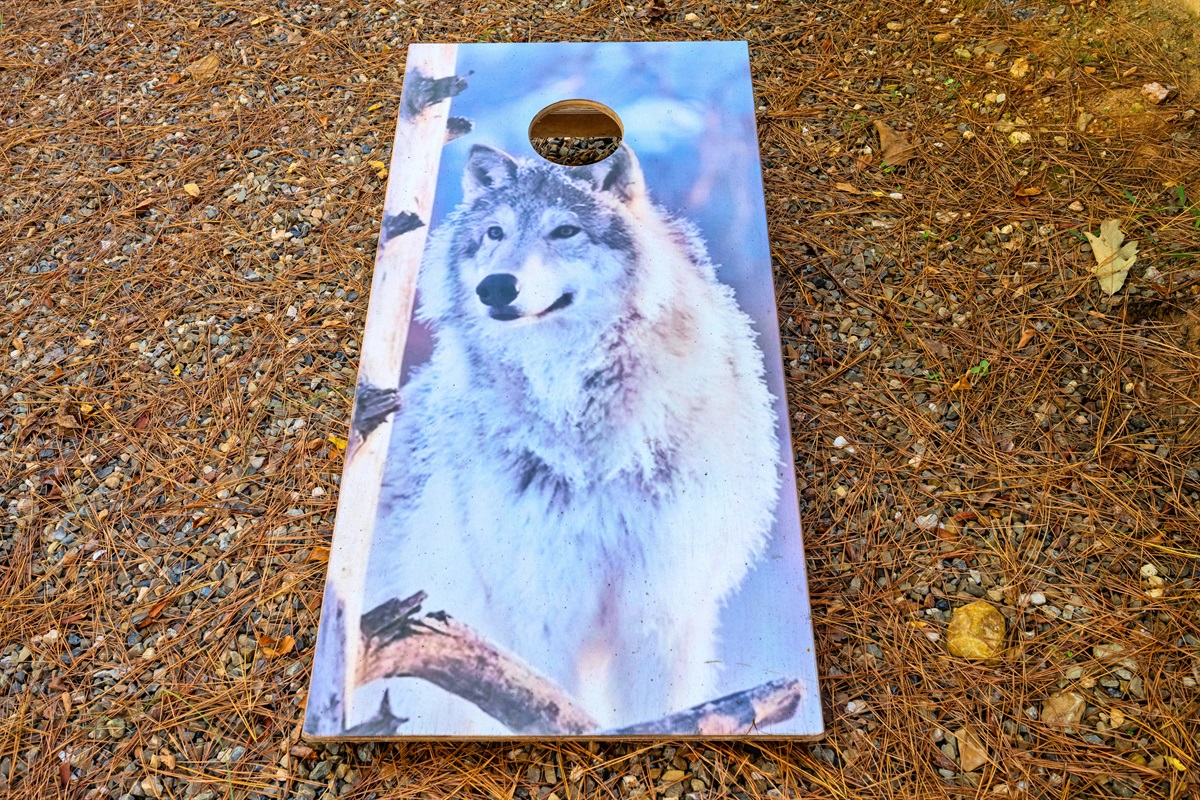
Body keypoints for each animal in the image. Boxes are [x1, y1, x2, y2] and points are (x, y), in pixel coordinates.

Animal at [363, 142, 782, 733]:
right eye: (494, 232)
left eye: (564, 231)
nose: (495, 286)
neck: (592, 447)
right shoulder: (541, 616)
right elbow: (555, 708)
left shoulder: (661, 613)